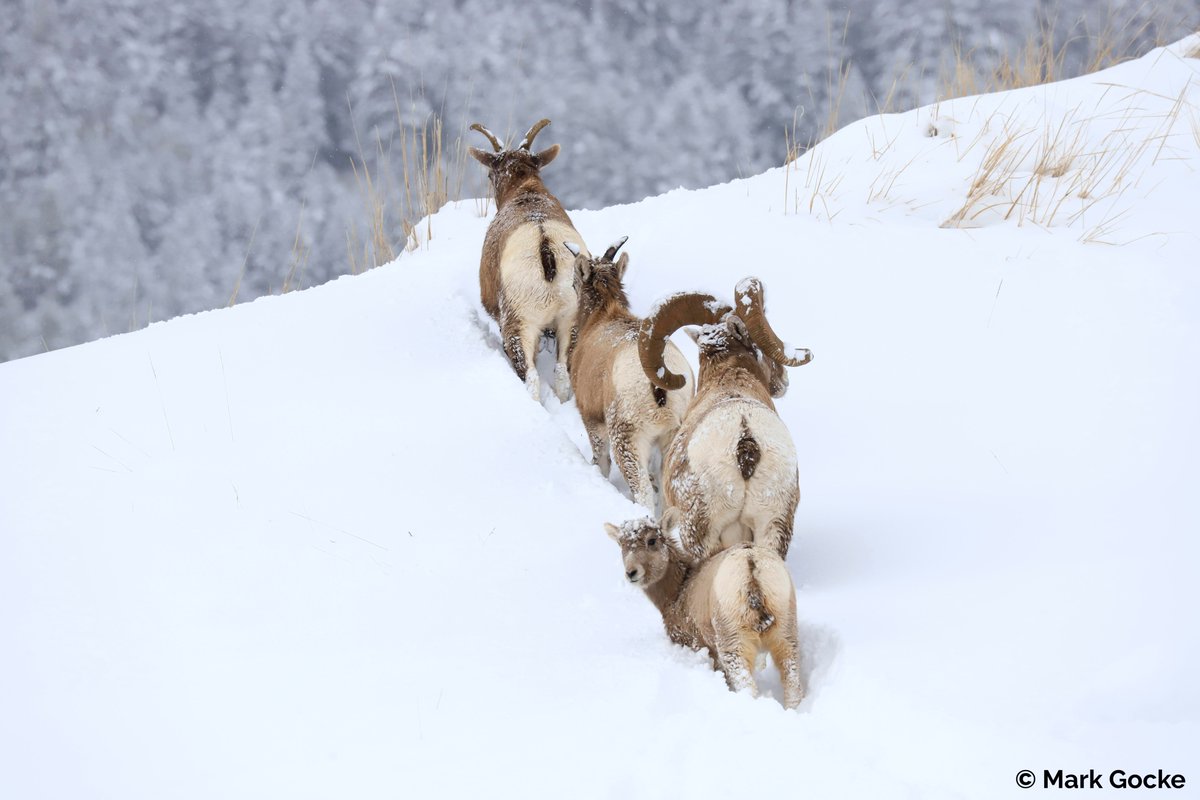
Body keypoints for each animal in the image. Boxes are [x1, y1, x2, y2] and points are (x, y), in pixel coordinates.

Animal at [469, 118, 587, 402]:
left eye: (490, 175)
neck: (526, 193)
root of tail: (546, 247)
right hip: (571, 320)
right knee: (563, 371)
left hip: (521, 325)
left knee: (531, 376)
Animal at [565, 236, 694, 511]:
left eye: (574, 282)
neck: (601, 318)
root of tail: (660, 383)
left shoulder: (593, 421)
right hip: (671, 441)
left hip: (628, 440)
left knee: (644, 494)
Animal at [605, 514, 805, 709]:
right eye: (621, 544)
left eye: (652, 540)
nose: (631, 573)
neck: (677, 593)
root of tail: (750, 563)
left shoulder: (696, 644)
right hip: (785, 634)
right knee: (792, 683)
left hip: (732, 641)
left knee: (747, 686)